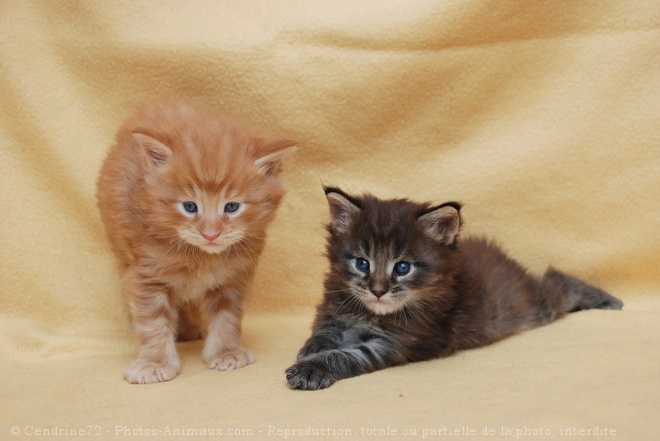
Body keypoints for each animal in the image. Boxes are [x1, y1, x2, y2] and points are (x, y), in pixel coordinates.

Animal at [96, 99, 296, 382]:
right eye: (190, 207)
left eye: (232, 207)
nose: (210, 233)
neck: (201, 256)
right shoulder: (145, 275)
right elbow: (152, 321)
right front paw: (154, 363)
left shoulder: (231, 277)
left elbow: (226, 317)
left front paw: (226, 353)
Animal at [284, 186, 624, 388]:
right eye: (362, 263)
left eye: (403, 268)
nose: (378, 290)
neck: (371, 314)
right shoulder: (332, 306)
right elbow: (325, 329)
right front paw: (313, 347)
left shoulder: (401, 342)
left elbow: (351, 355)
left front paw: (312, 368)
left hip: (532, 305)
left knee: (558, 282)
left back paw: (605, 299)